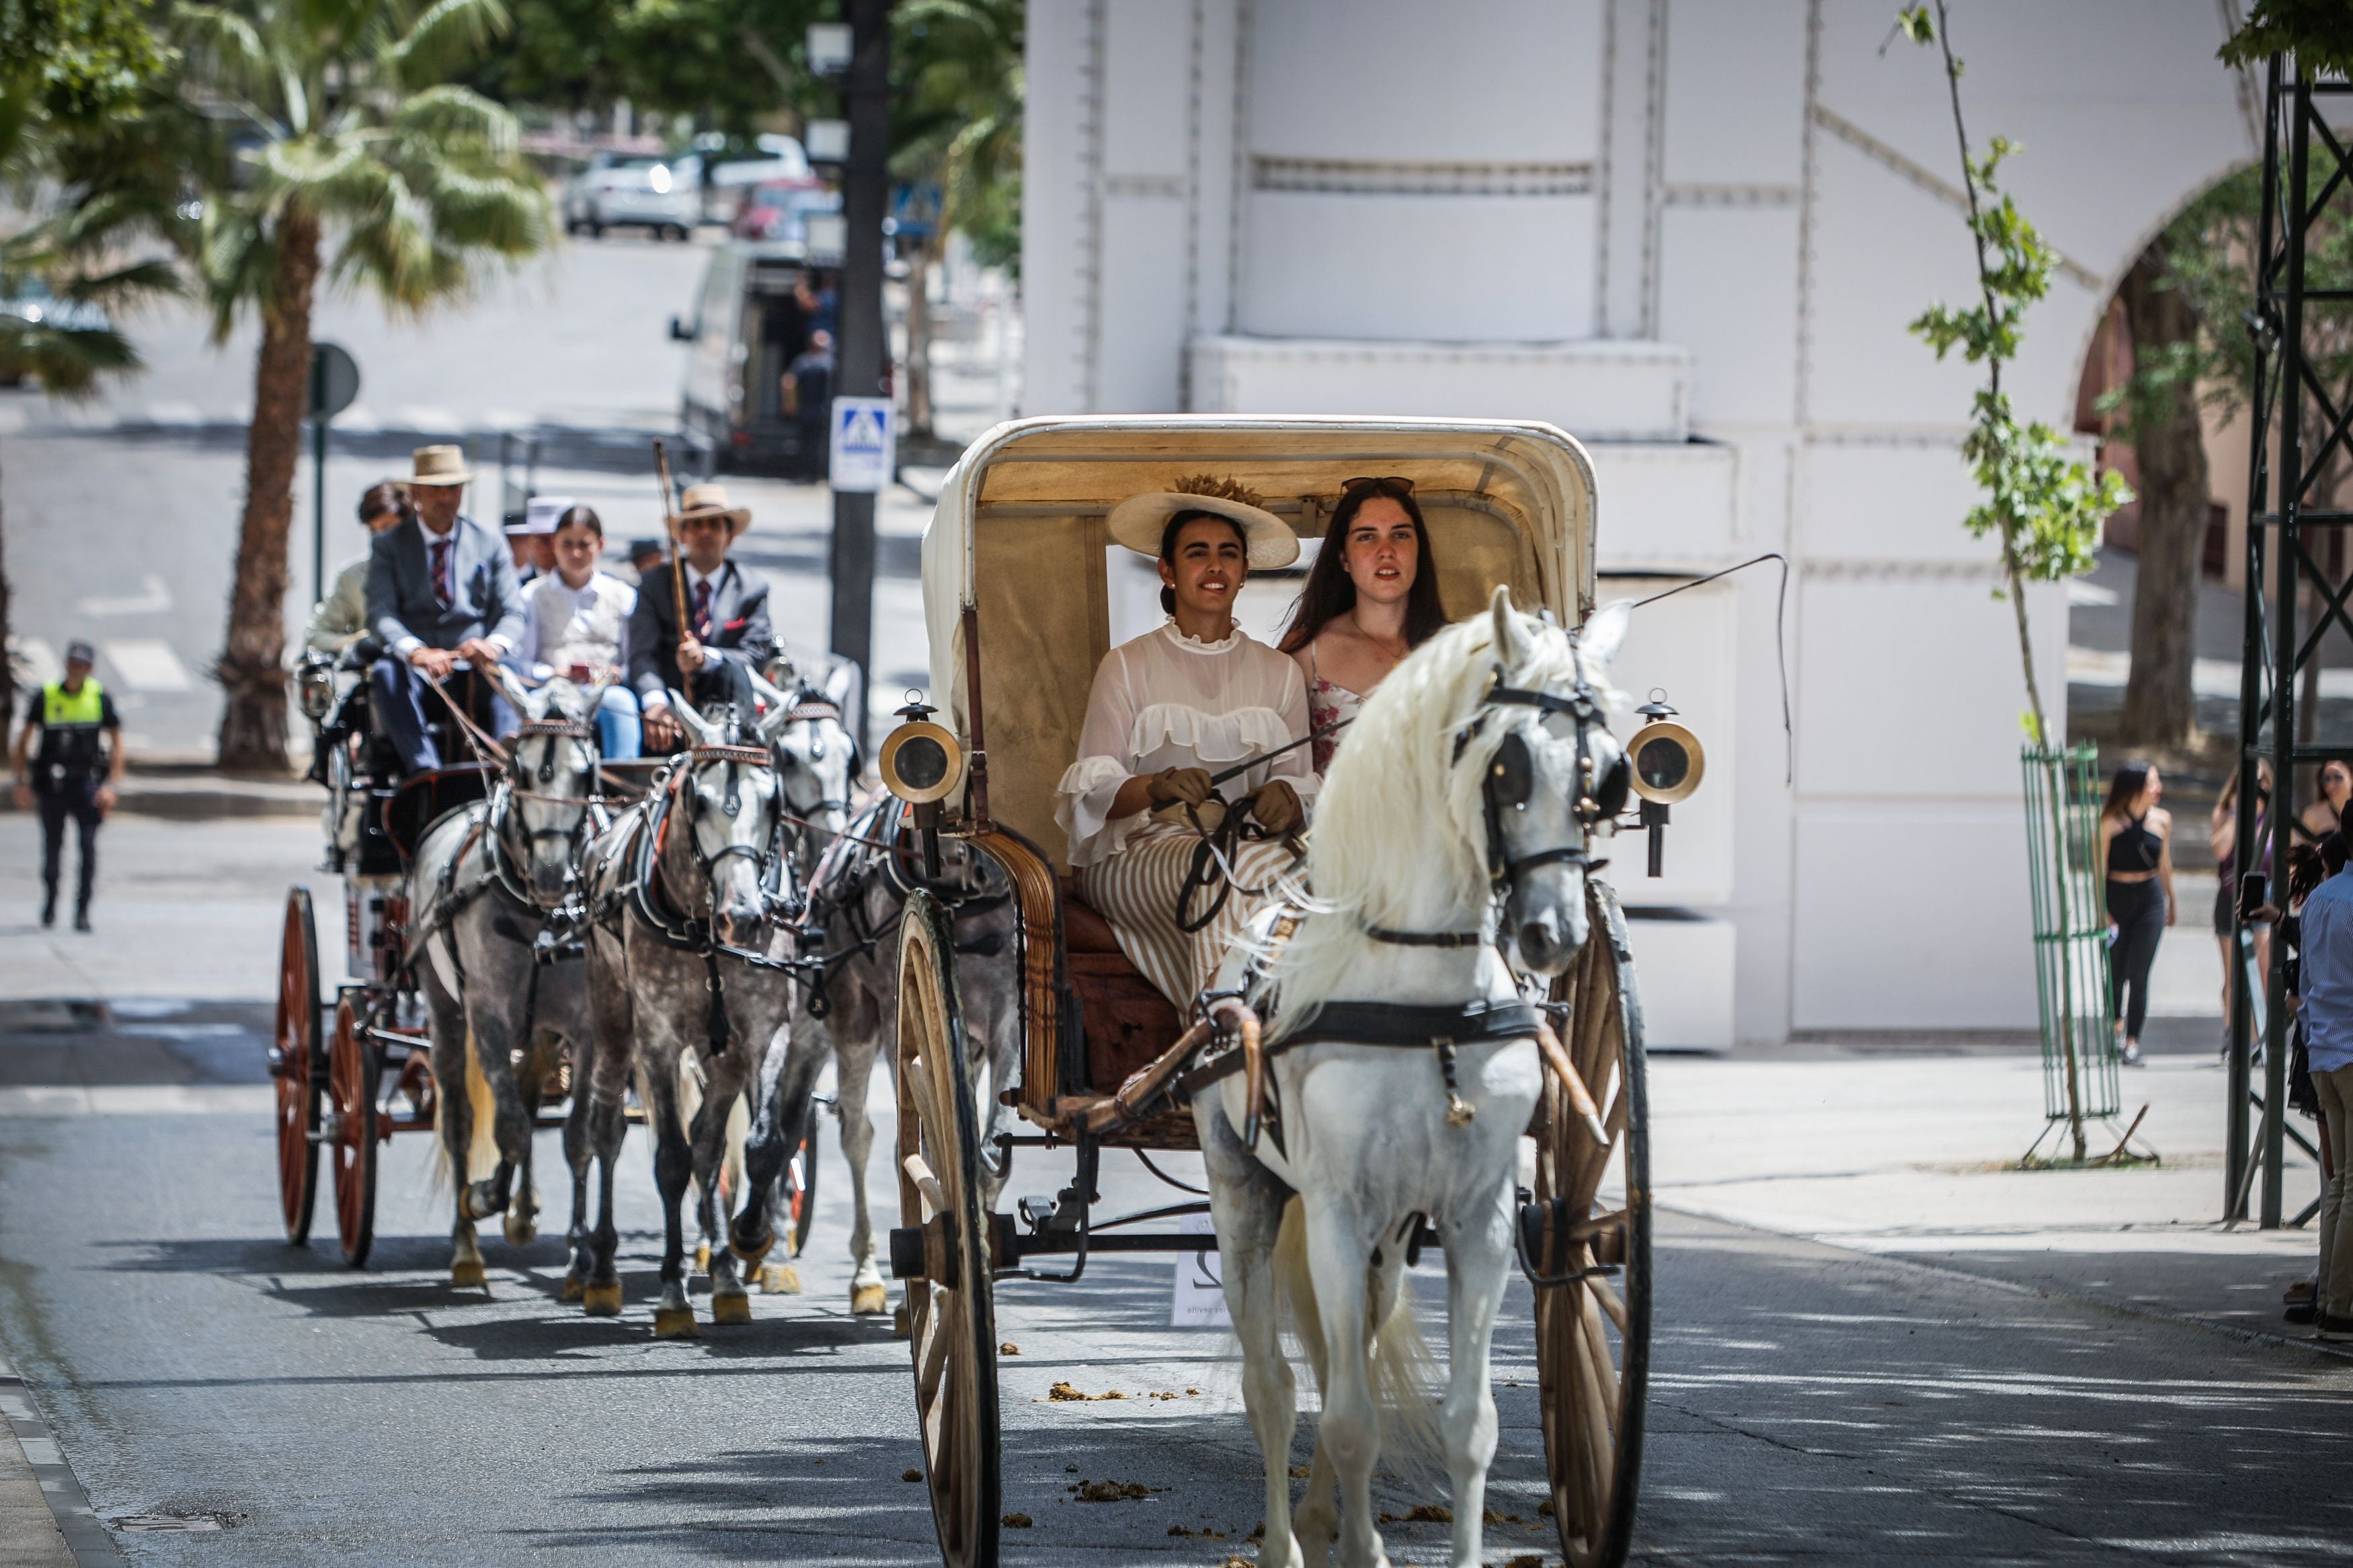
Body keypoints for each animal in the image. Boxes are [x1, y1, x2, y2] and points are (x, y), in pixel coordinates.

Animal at [407, 672, 607, 1288]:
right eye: (521, 769)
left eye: (586, 773)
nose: (551, 873)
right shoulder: (489, 1017)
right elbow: (510, 1129)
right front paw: (482, 1199)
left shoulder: (586, 1027)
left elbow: (577, 1135)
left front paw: (580, 1254)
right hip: (445, 1010)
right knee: (461, 1118)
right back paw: (468, 1245)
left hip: (541, 1028)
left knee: (530, 1089)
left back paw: (520, 1209)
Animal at [1195, 585, 1619, 1568]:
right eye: (1506, 767)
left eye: (1606, 773)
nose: (1551, 934)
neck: (1425, 1001)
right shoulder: (1336, 1211)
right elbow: (1347, 1420)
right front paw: (1345, 1539)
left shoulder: (1480, 1219)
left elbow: (1469, 1424)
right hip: (1247, 1197)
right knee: (1274, 1384)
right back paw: (1288, 1540)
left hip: (1387, 1235)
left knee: (1338, 1352)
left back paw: (1326, 1518)